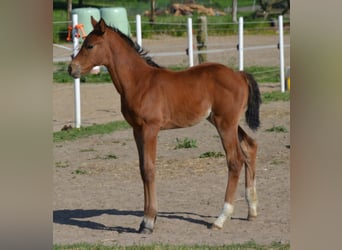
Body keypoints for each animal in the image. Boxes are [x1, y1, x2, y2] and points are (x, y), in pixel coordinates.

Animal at [69, 17, 262, 234]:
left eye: (90, 45)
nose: (71, 68)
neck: (139, 82)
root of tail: (240, 74)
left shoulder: (150, 129)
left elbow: (149, 169)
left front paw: (148, 221)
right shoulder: (136, 130)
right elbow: (142, 169)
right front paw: (145, 220)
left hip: (225, 123)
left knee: (235, 160)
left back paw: (220, 218)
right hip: (225, 122)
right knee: (250, 147)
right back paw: (252, 210)